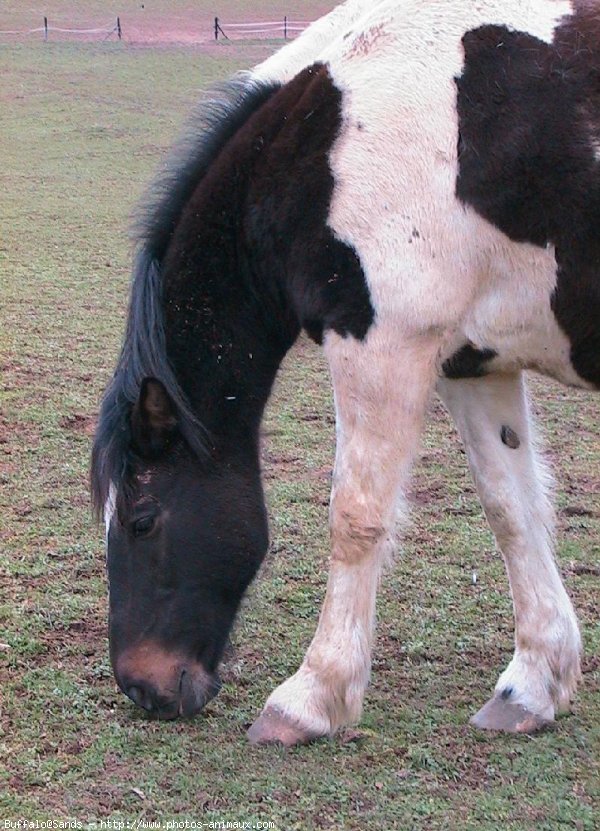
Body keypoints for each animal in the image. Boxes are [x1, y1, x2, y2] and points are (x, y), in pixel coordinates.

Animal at [91, 0, 596, 740]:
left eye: (144, 519)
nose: (141, 686)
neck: (321, 148)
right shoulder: (472, 363)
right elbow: (511, 507)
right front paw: (533, 685)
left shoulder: (381, 344)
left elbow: (356, 517)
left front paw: (311, 695)